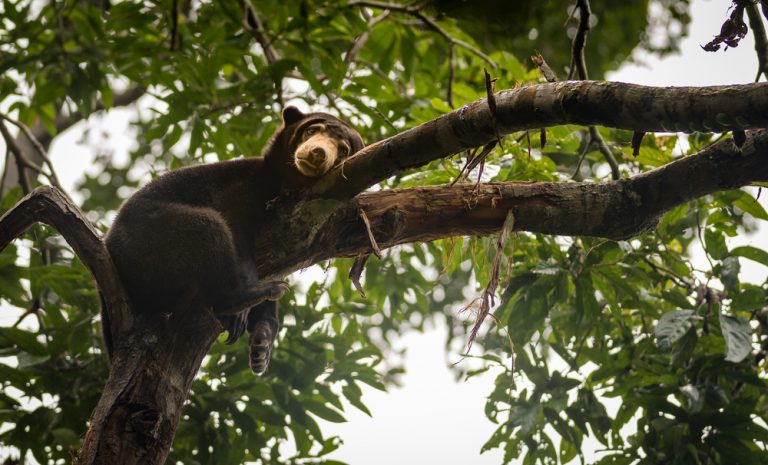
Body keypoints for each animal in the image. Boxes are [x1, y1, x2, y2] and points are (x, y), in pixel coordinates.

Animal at [103, 106, 364, 374]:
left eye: (343, 150)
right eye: (312, 130)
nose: (317, 153)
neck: (282, 183)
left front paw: (262, 343)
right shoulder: (241, 190)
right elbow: (237, 235)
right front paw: (247, 308)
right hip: (149, 236)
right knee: (208, 226)